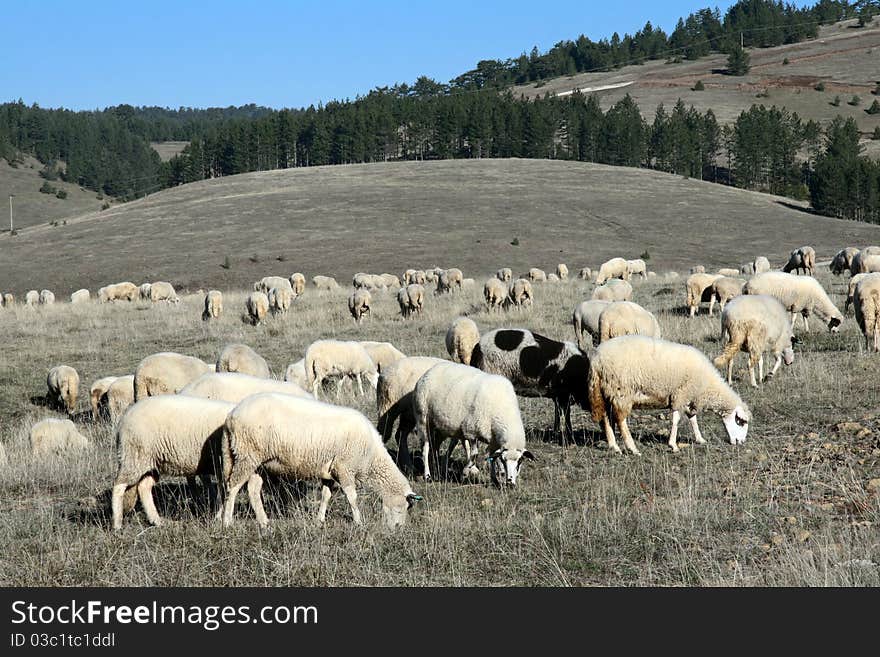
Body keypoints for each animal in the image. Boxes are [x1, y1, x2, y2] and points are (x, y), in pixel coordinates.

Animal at [111, 394, 237, 528]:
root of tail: (123, 419)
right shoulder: (222, 464)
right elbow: (224, 492)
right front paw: (220, 517)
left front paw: (219, 516)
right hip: (134, 456)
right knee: (118, 486)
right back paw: (117, 524)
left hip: (151, 462)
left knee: (144, 486)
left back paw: (157, 521)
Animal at [222, 394, 424, 528]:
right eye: (403, 507)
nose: (397, 529)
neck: (371, 457)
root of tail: (231, 415)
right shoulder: (344, 468)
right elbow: (352, 497)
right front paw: (358, 521)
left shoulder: (330, 471)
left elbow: (326, 496)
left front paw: (320, 520)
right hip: (246, 455)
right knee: (233, 486)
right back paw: (227, 521)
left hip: (257, 462)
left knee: (253, 490)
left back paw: (264, 522)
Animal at [588, 336, 752, 454]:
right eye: (741, 422)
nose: (741, 442)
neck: (707, 386)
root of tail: (596, 359)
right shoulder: (681, 394)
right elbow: (676, 420)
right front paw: (673, 445)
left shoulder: (688, 398)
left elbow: (693, 419)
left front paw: (700, 439)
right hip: (621, 391)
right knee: (620, 420)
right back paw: (632, 448)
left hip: (606, 392)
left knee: (606, 418)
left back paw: (614, 446)